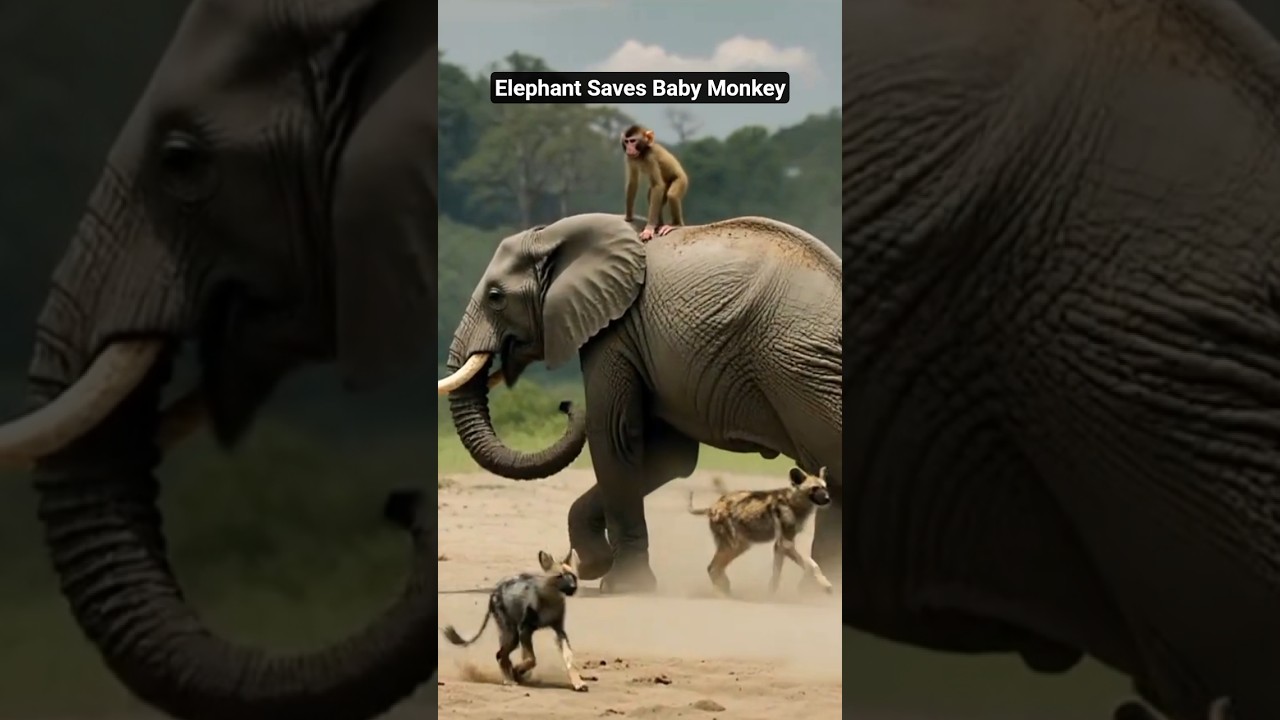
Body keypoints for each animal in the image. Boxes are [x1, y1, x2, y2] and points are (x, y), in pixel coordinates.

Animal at [436, 213, 842, 593]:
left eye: (495, 297)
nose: (565, 405)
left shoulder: (616, 332)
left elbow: (613, 434)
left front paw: (621, 584)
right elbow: (669, 455)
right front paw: (593, 566)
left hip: (802, 372)